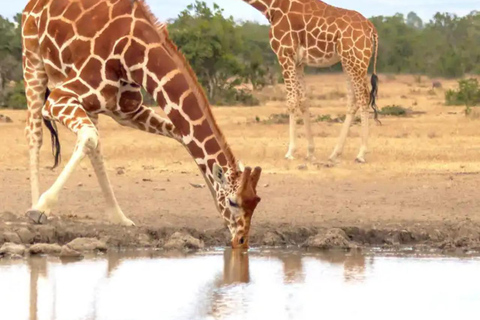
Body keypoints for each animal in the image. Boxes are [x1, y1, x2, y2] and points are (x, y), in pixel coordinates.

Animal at [21, 0, 262, 249]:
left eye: (255, 202)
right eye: (233, 202)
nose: (242, 241)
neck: (133, 56)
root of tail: (32, 5)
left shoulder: (126, 111)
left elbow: (181, 137)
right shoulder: (58, 97)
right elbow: (86, 136)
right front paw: (41, 208)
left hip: (89, 102)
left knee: (94, 146)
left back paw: (119, 216)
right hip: (33, 61)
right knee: (35, 133)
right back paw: (34, 205)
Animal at [240, 0, 378, 164]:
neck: (271, 7)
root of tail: (371, 29)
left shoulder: (285, 53)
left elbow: (292, 101)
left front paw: (290, 152)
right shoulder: (299, 62)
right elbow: (303, 101)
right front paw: (310, 152)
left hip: (356, 60)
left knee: (363, 98)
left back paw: (361, 154)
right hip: (348, 61)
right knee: (353, 100)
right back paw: (335, 154)